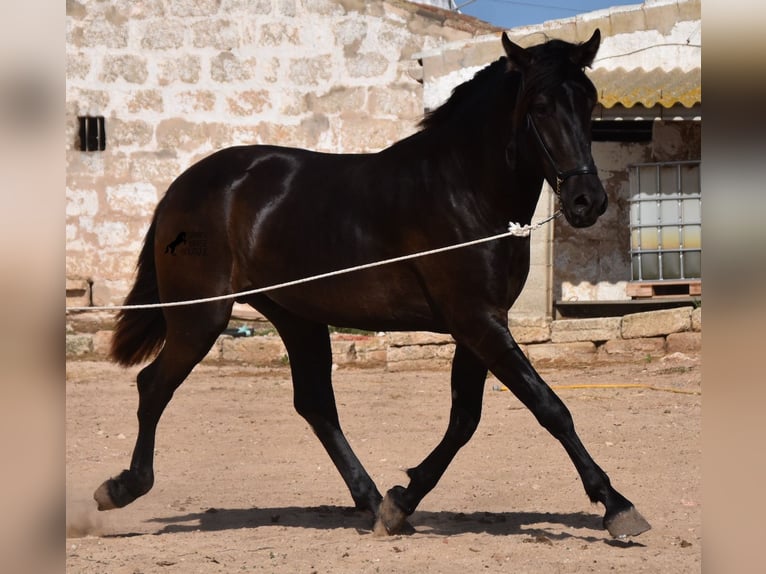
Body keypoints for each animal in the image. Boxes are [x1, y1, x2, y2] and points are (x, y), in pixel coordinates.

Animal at [93, 31, 652, 544]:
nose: (586, 201)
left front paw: (401, 502)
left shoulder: (479, 324)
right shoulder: (477, 321)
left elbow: (465, 420)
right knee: (154, 386)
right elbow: (549, 407)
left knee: (316, 405)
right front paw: (618, 505)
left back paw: (369, 499)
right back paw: (122, 487)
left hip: (296, 317)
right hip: (201, 317)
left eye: (589, 99)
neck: (463, 189)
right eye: (539, 106)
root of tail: (182, 187)